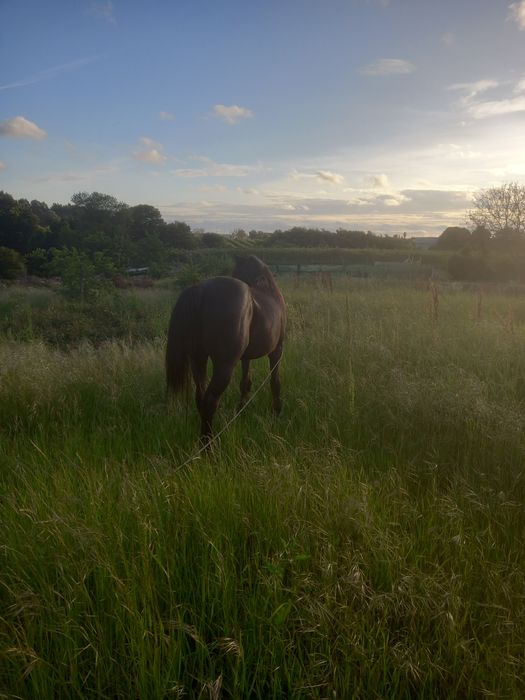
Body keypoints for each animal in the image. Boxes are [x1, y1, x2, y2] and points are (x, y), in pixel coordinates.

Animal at [166, 255, 286, 443]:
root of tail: (201, 290)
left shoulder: (245, 357)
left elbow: (245, 383)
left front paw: (240, 411)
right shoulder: (277, 351)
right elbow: (275, 382)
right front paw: (276, 412)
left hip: (198, 360)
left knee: (200, 398)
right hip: (224, 366)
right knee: (209, 401)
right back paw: (208, 444)